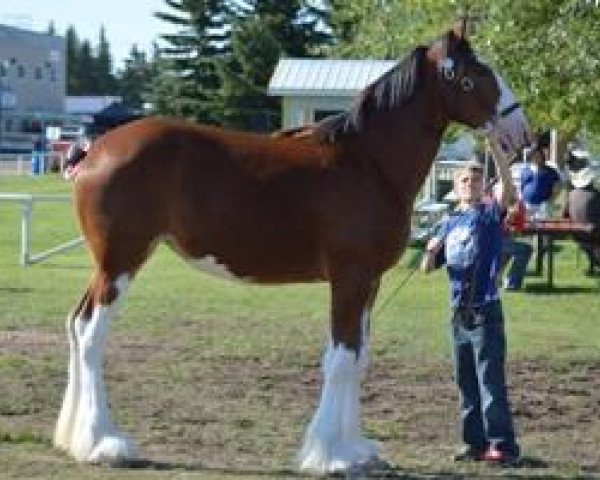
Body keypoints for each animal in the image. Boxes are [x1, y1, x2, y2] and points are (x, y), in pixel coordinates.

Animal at [54, 25, 528, 472]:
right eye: (472, 77)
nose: (520, 130)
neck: (368, 163)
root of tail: (93, 149)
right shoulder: (350, 278)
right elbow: (340, 359)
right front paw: (330, 456)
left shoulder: (370, 282)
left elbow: (358, 358)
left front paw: (357, 450)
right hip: (121, 260)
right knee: (92, 334)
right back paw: (104, 443)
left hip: (108, 264)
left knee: (76, 323)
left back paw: (74, 439)